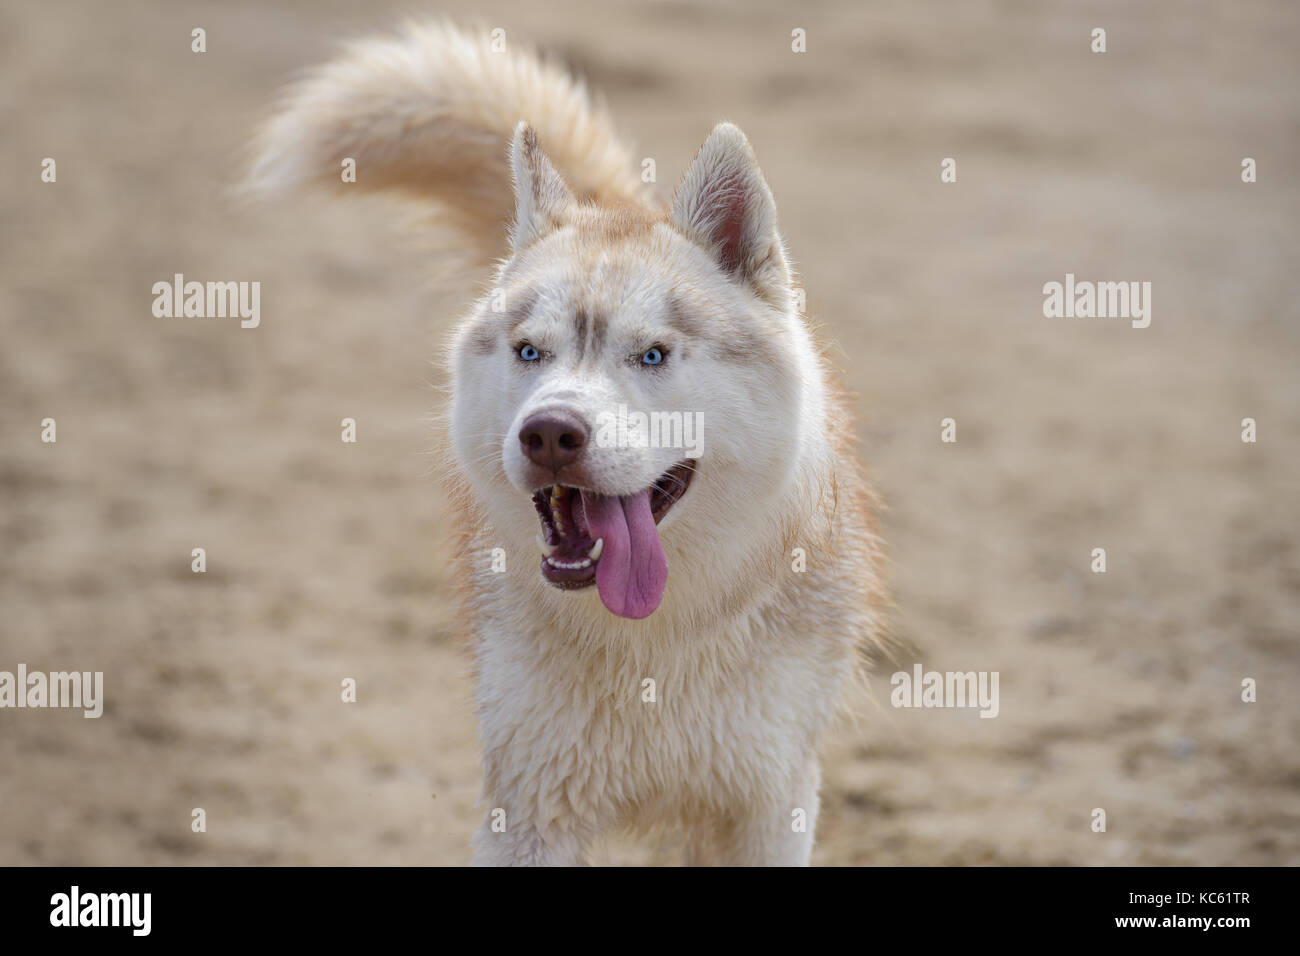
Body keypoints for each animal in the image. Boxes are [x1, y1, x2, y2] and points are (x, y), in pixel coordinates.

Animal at [252, 22, 883, 863]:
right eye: (531, 352)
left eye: (651, 355)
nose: (550, 432)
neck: (653, 642)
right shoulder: (528, 806)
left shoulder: (768, 806)